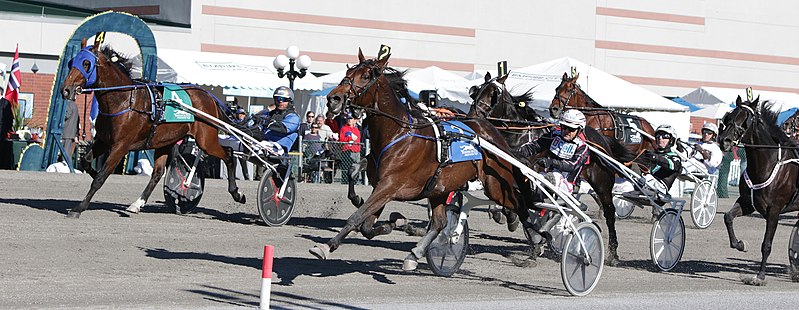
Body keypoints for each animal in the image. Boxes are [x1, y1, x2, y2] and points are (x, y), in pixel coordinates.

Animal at [60, 38, 244, 218]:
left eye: (86, 63)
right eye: (71, 62)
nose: (66, 90)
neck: (124, 101)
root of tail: (208, 97)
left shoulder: (121, 146)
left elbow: (100, 178)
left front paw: (79, 208)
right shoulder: (103, 141)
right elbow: (86, 162)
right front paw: (91, 172)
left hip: (205, 140)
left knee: (228, 155)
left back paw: (237, 193)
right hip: (166, 141)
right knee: (157, 173)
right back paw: (137, 204)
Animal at [308, 48, 532, 268]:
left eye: (365, 76)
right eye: (348, 73)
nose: (333, 99)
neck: (398, 133)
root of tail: (492, 131)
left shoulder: (389, 185)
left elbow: (358, 217)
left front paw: (327, 246)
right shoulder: (381, 185)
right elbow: (366, 223)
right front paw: (395, 221)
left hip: (494, 184)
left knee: (517, 202)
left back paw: (532, 235)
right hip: (441, 188)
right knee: (440, 222)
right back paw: (414, 254)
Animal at [472, 72, 640, 264]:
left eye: (494, 94)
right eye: (477, 90)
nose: (473, 114)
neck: (519, 134)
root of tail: (602, 139)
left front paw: (514, 220)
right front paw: (505, 216)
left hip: (602, 183)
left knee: (609, 212)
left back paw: (613, 253)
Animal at [720, 95, 799, 286]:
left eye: (745, 119)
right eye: (729, 116)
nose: (724, 140)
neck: (766, 164)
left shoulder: (774, 211)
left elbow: (766, 244)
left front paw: (760, 276)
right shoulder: (748, 203)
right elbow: (728, 217)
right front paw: (740, 244)